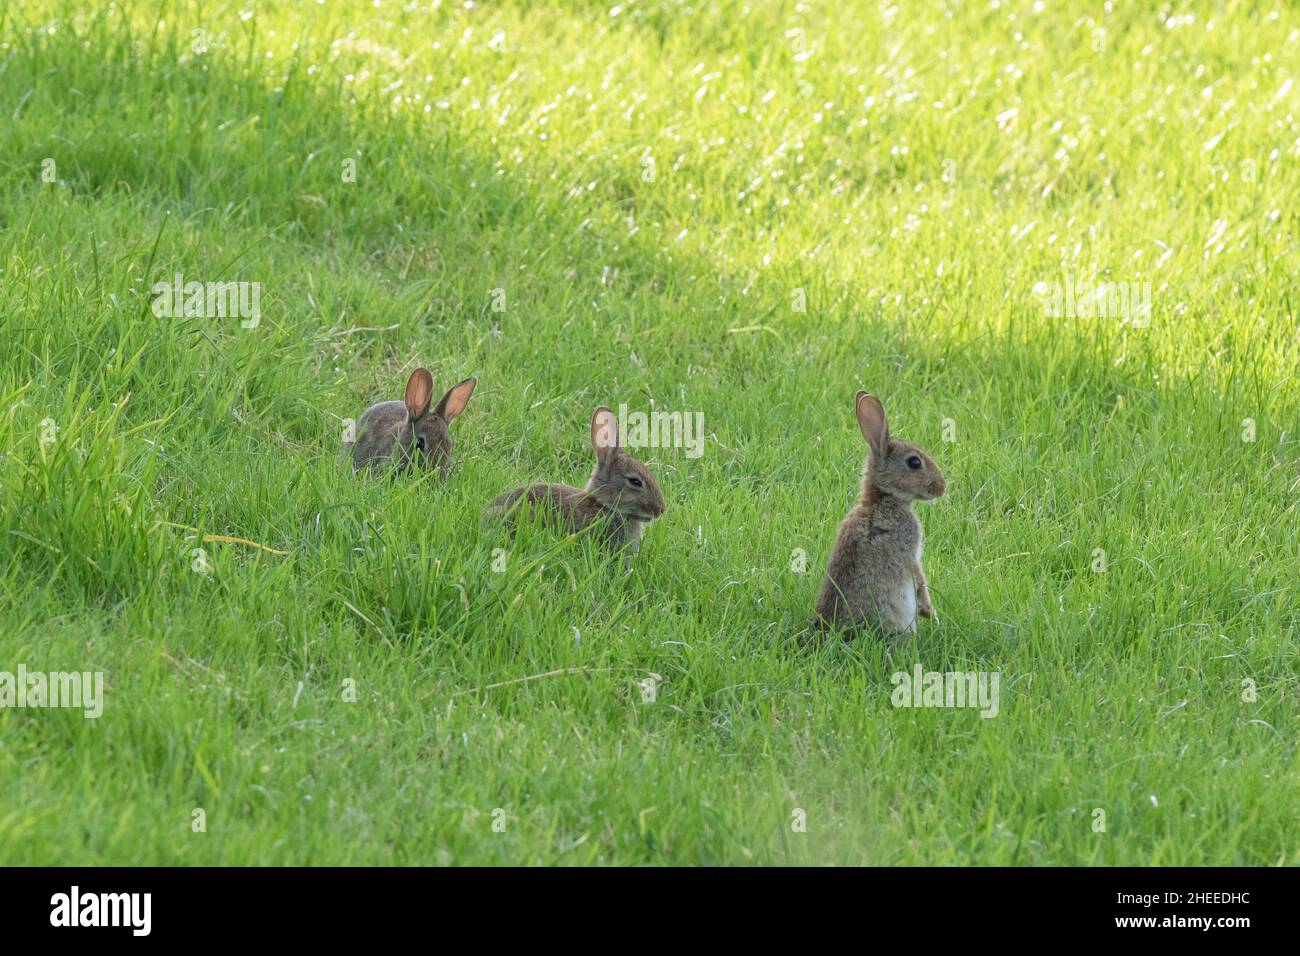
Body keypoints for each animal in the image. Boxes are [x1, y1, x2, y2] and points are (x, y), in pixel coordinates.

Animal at [811, 392, 946, 639]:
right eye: (914, 462)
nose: (942, 486)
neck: (883, 499)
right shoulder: (909, 553)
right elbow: (919, 577)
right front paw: (928, 611)